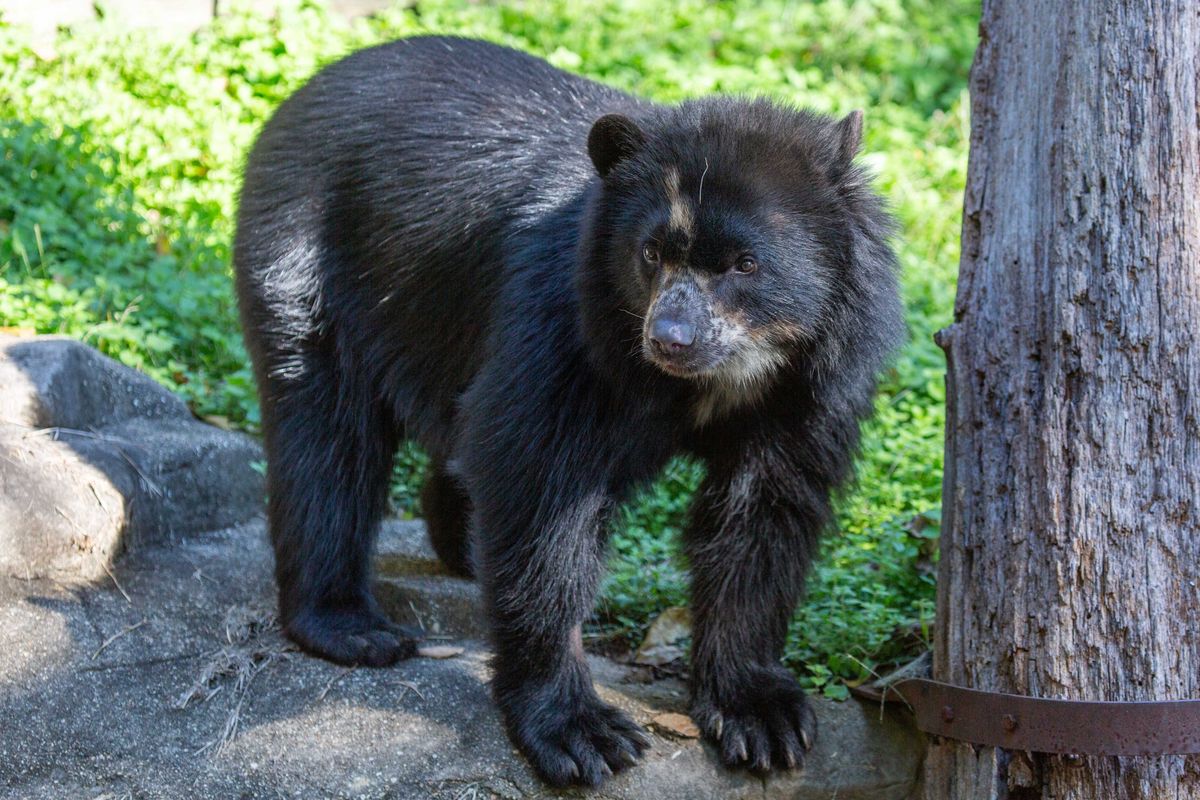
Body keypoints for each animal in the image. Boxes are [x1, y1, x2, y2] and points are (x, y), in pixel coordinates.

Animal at [233, 35, 902, 788]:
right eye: (650, 253)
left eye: (744, 263)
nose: (670, 338)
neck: (724, 378)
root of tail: (304, 90)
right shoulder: (566, 326)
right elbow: (539, 492)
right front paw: (583, 733)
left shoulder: (809, 386)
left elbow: (763, 515)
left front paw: (760, 716)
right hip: (307, 259)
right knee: (327, 436)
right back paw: (351, 626)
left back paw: (460, 545)